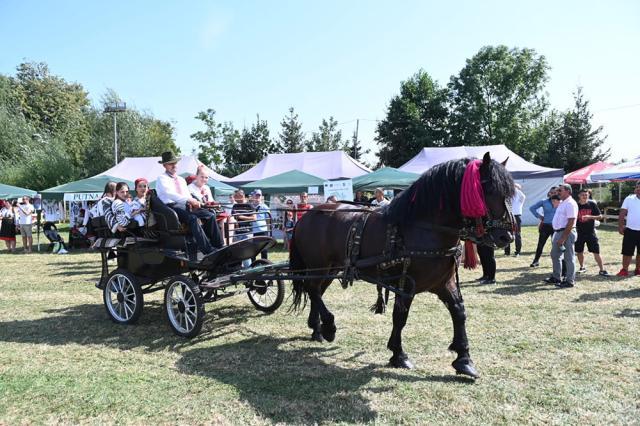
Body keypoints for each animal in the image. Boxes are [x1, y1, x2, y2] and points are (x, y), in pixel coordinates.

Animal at [290, 152, 516, 376]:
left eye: (508, 193)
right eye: (488, 190)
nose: (506, 236)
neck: (423, 228)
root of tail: (307, 215)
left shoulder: (444, 282)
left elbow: (459, 312)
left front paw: (464, 359)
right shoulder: (405, 284)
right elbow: (400, 316)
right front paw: (398, 354)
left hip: (330, 268)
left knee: (316, 291)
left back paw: (316, 329)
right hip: (318, 265)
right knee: (313, 289)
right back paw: (328, 326)